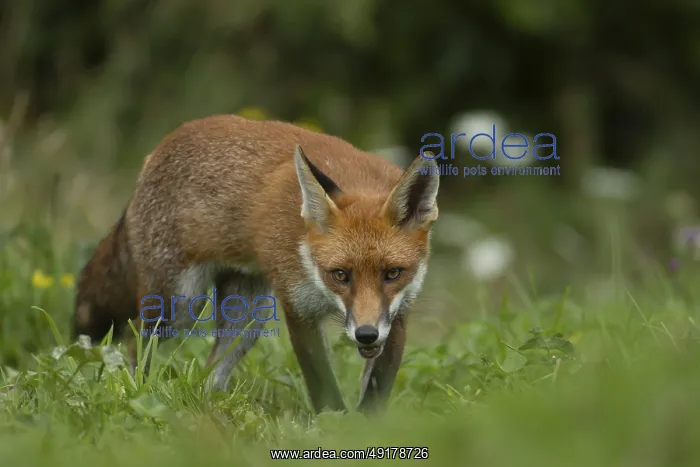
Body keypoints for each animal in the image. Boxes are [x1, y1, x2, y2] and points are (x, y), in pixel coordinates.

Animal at [73, 114, 440, 413]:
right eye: (340, 275)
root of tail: (158, 149)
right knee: (134, 338)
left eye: (392, 273)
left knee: (211, 372)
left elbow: (376, 390)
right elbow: (324, 387)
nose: (365, 335)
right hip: (179, 307)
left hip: (248, 318)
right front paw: (335, 428)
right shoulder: (298, 308)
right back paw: (141, 394)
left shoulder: (398, 313)